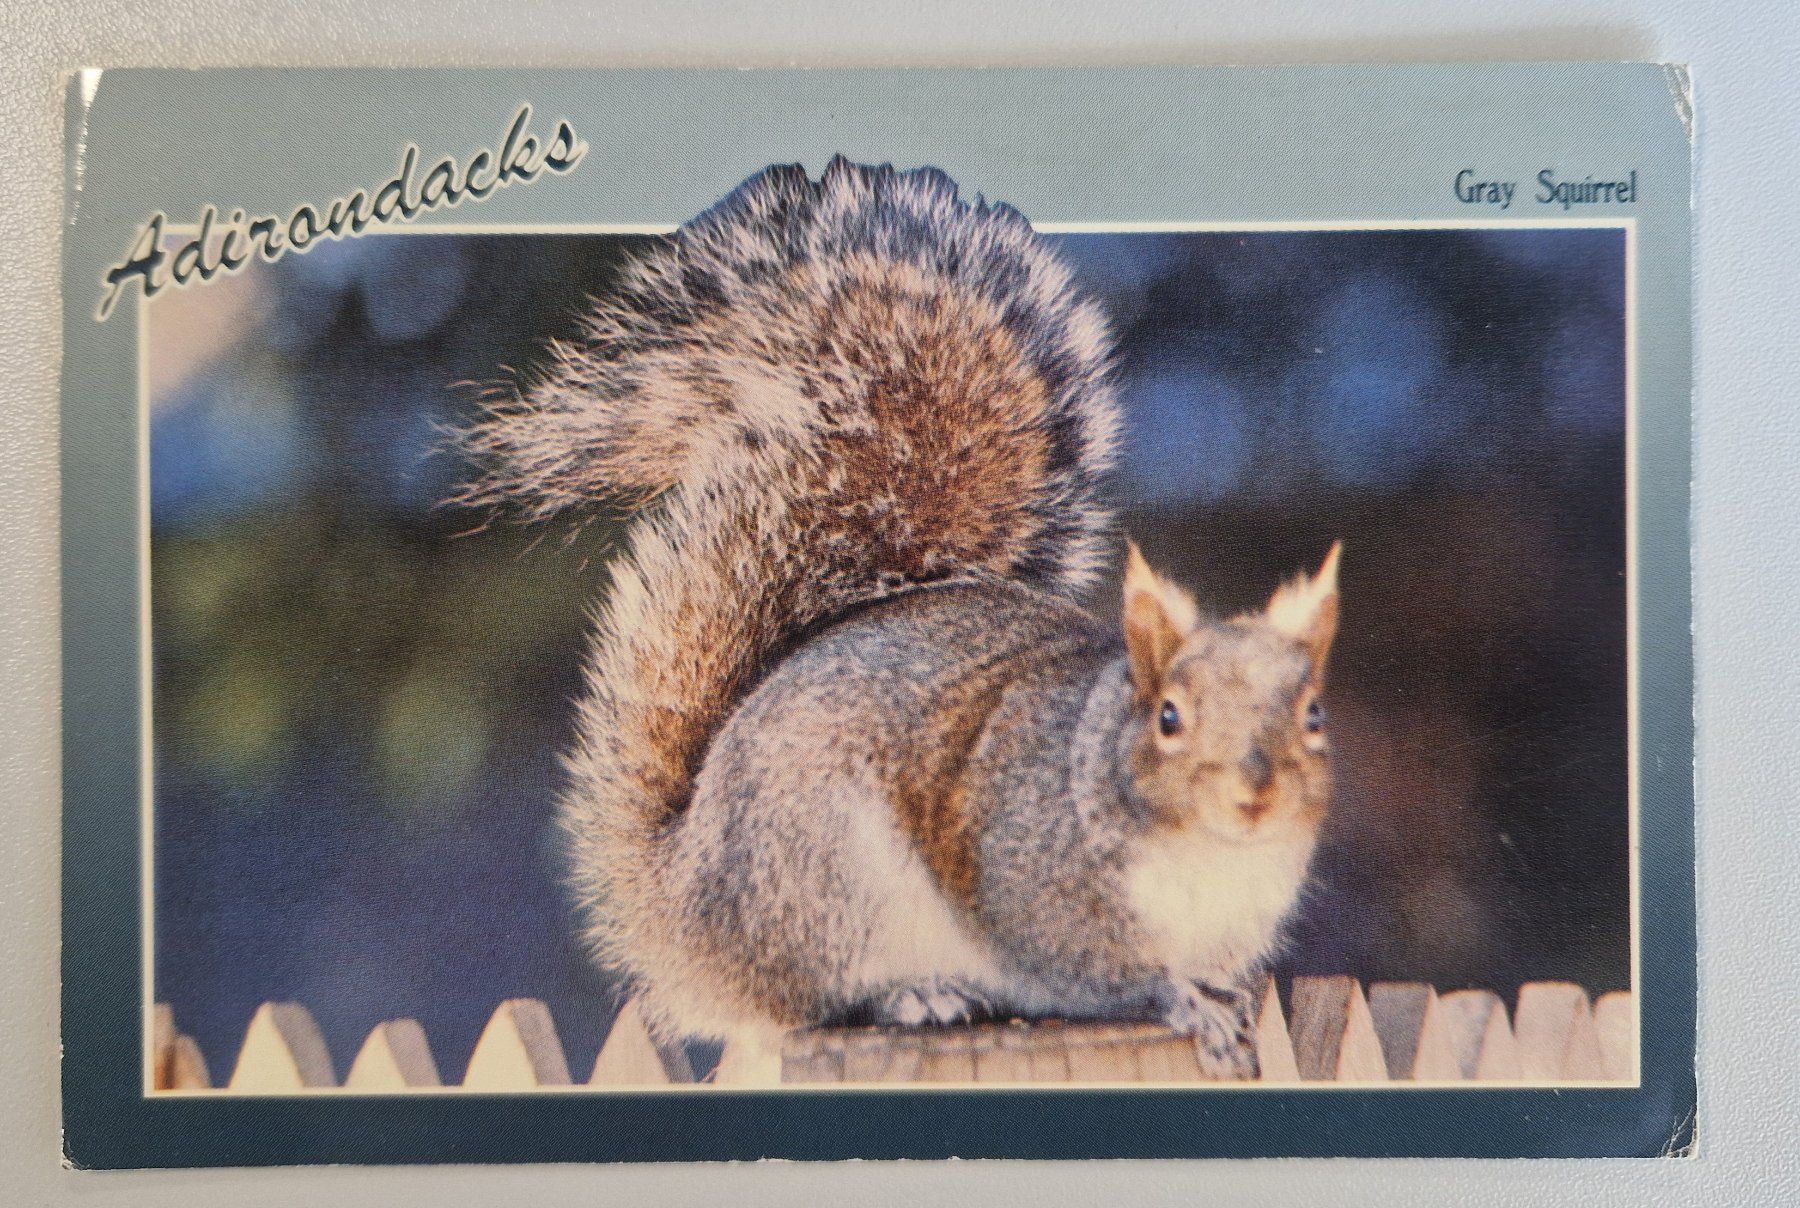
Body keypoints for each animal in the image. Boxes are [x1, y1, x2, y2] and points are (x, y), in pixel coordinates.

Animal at [457, 157, 1342, 1084]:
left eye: (1313, 714)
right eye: (1168, 717)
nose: (1255, 792)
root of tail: (685, 912)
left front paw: (1225, 1003)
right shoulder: (1027, 878)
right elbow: (1102, 973)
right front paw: (1180, 1004)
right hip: (828, 888)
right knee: (812, 1003)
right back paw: (916, 997)